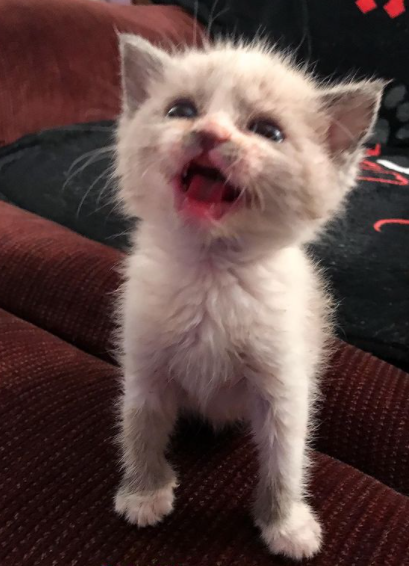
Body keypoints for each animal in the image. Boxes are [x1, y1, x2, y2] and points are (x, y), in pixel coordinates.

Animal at [112, 35, 382, 564]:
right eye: (181, 110)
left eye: (267, 131)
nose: (210, 133)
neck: (211, 274)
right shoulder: (145, 362)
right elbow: (141, 425)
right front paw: (144, 492)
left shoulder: (285, 383)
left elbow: (285, 457)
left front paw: (286, 525)